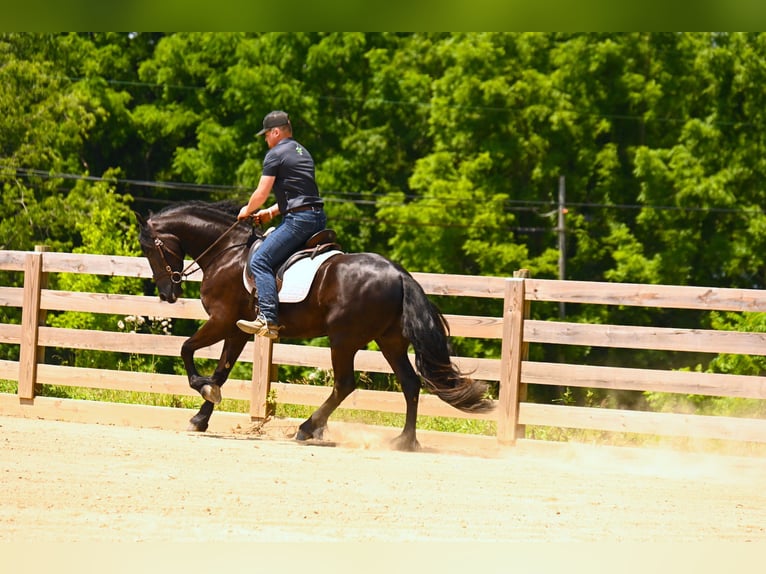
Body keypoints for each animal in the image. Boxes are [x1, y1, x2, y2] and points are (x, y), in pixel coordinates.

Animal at [135, 200, 493, 451]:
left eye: (149, 248)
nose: (167, 293)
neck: (227, 252)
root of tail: (398, 274)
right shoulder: (236, 329)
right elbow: (221, 371)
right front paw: (201, 417)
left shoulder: (221, 321)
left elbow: (187, 350)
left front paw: (202, 389)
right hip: (389, 341)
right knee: (410, 383)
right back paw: (404, 441)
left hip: (343, 339)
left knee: (345, 385)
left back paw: (307, 428)